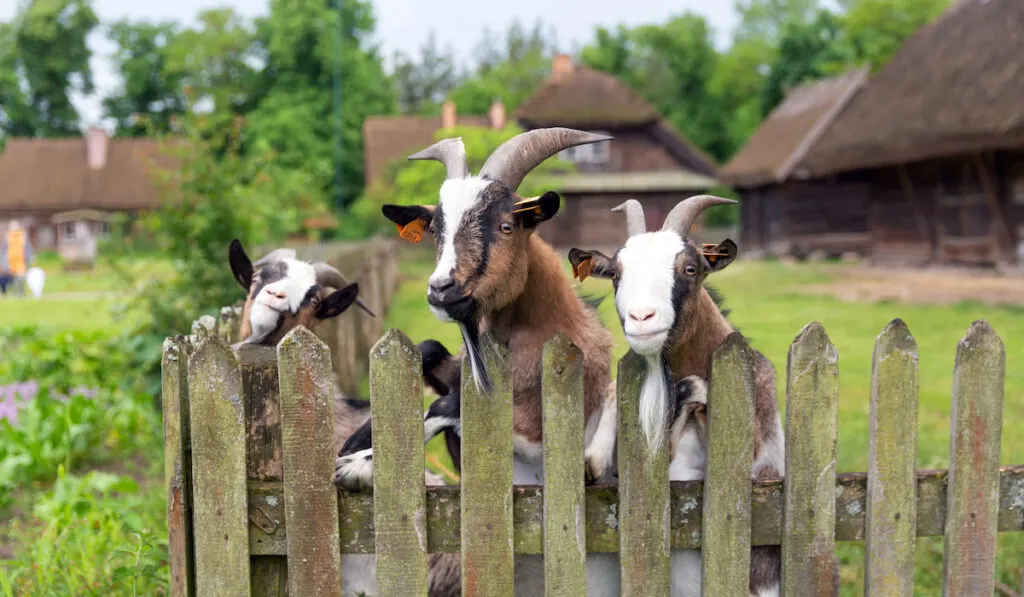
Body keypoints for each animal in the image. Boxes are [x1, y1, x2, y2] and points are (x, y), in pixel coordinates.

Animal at [569, 197, 839, 597]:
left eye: (690, 268)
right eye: (616, 273)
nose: (641, 318)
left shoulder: (756, 458)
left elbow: (692, 387)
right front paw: (594, 458)